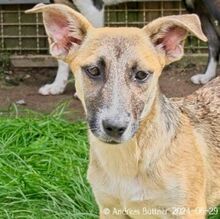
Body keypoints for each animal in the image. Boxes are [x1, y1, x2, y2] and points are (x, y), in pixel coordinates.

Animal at [27, 3, 220, 219]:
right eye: (93, 70)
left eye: (141, 74)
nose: (115, 128)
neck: (127, 160)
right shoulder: (110, 209)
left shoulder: (187, 210)